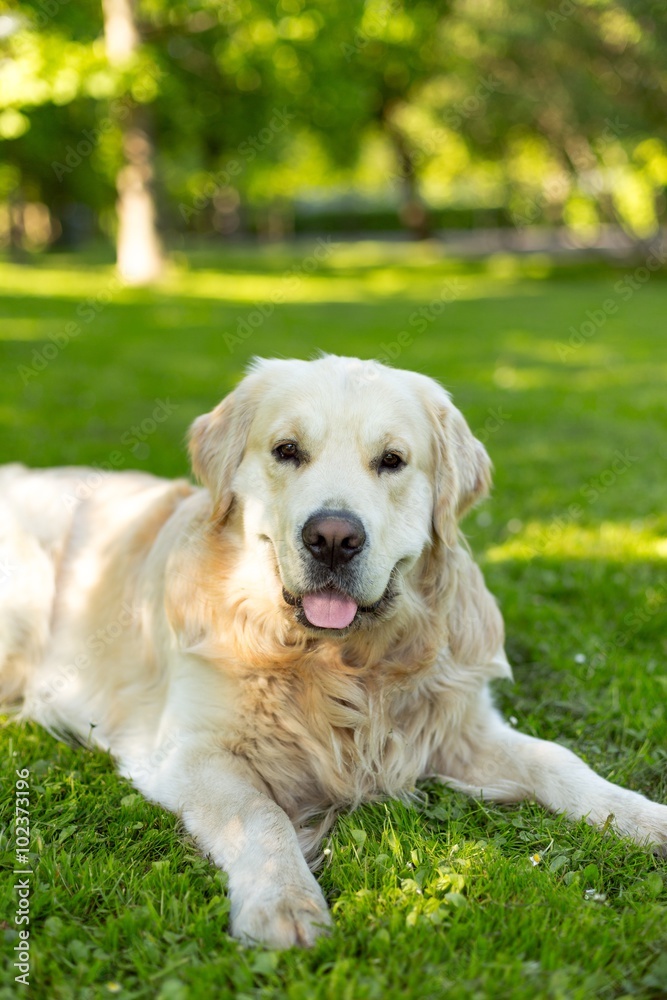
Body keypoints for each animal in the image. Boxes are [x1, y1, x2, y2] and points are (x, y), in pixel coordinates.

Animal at [1, 356, 667, 948]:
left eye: (392, 461)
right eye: (286, 450)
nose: (332, 538)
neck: (340, 665)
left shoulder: (460, 726)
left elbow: (561, 762)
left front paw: (645, 818)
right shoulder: (191, 752)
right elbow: (261, 816)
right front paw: (283, 903)